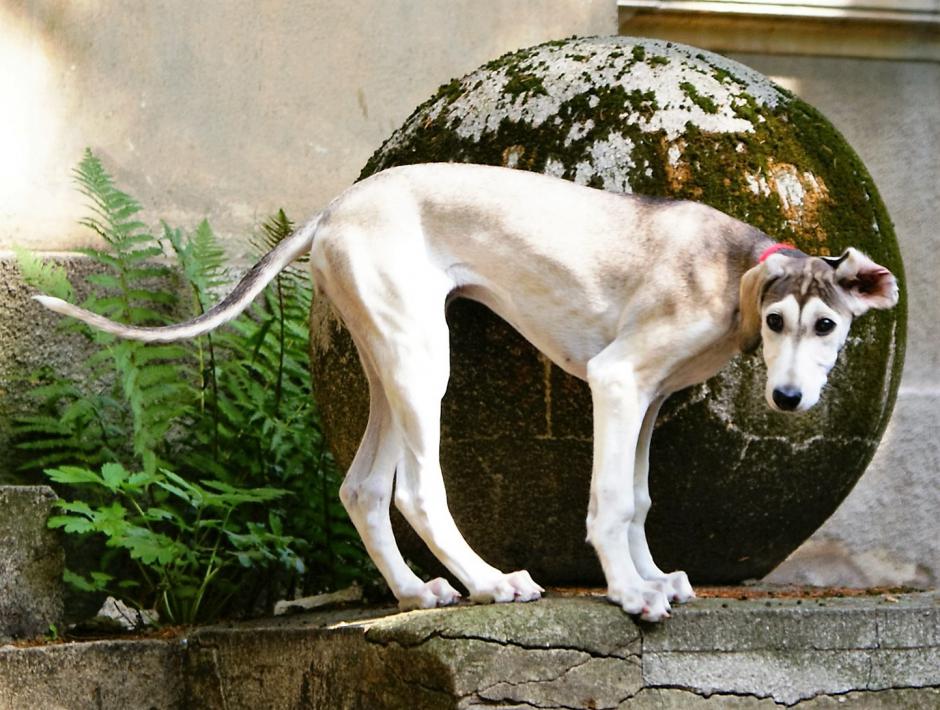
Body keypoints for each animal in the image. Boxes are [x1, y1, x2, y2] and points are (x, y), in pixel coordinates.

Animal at [38, 163, 904, 624]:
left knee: (362, 489)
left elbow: (640, 499)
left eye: (827, 326)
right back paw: (489, 582)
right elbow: (610, 502)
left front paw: (653, 577)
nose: (788, 400)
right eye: (777, 321)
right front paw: (629, 593)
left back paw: (416, 591)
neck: (732, 270)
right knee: (415, 491)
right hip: (426, 364)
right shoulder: (618, 382)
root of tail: (334, 207)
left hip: (392, 359)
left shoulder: (650, 402)